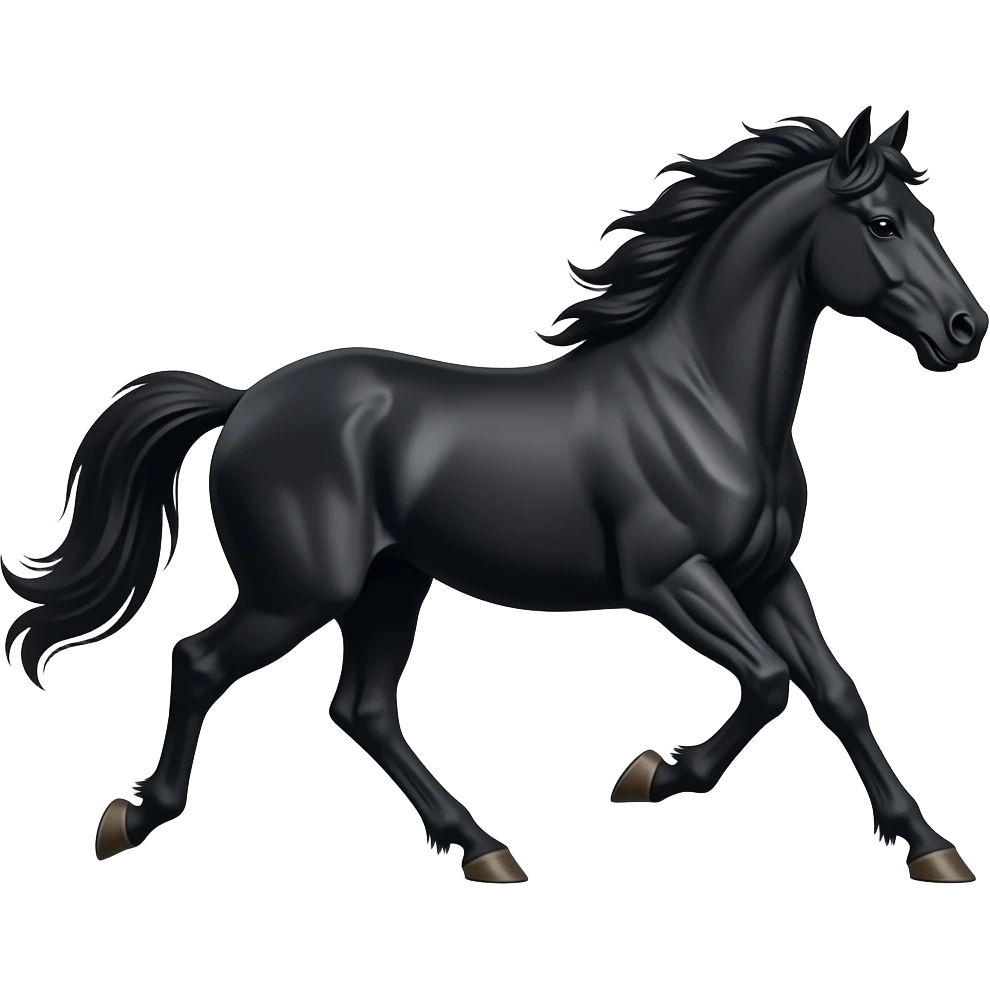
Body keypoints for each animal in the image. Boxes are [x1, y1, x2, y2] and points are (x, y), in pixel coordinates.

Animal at [3, 106, 984, 884]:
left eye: (925, 215)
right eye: (884, 223)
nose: (965, 329)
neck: (703, 397)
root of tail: (243, 401)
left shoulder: (768, 573)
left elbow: (839, 694)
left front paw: (934, 851)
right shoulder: (670, 580)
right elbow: (773, 682)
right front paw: (651, 776)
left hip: (391, 584)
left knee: (361, 708)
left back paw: (485, 851)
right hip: (299, 591)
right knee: (200, 662)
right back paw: (130, 819)